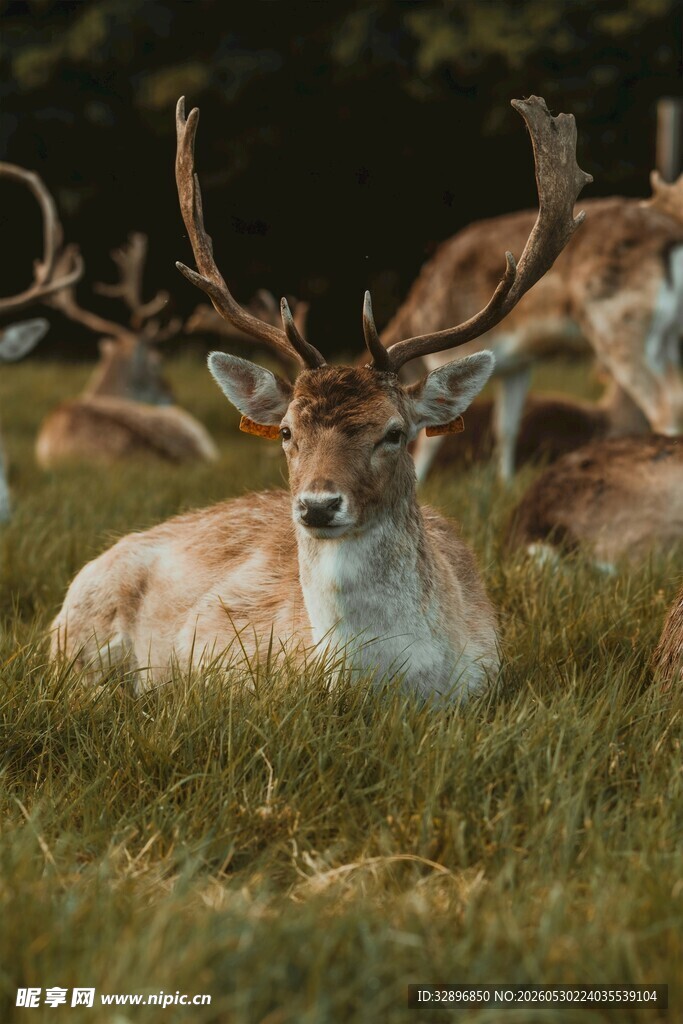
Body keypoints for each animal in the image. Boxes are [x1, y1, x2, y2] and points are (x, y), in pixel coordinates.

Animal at [385, 157, 683, 483]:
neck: (419, 314)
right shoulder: (518, 363)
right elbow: (506, 427)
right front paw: (505, 484)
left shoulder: (453, 352)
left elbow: (432, 435)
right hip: (667, 337)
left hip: (617, 325)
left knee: (664, 404)